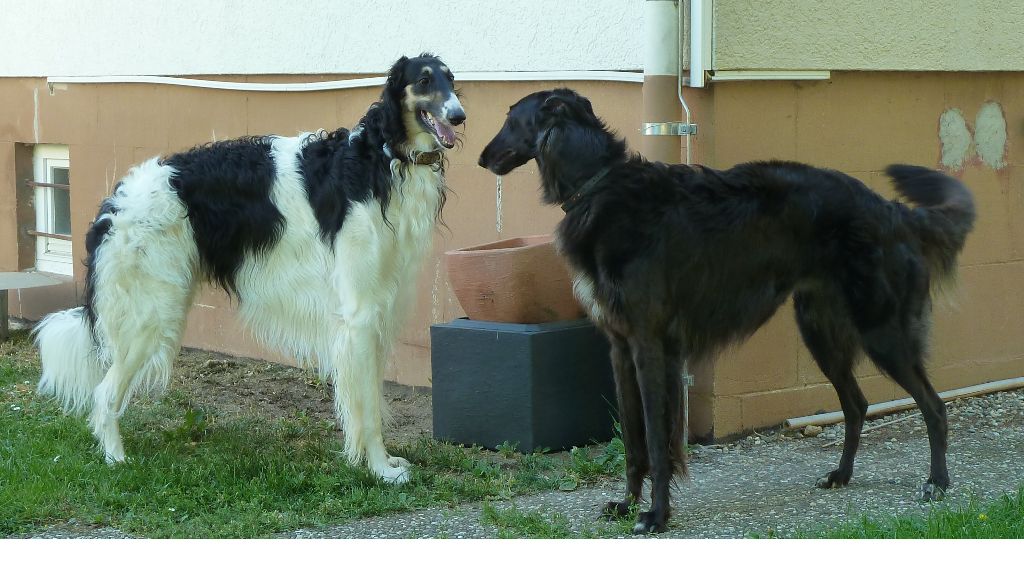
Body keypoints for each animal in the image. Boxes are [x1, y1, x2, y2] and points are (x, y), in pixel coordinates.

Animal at [34, 54, 464, 484]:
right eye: (424, 80)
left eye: (451, 78)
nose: (460, 116)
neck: (380, 157)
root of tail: (114, 202)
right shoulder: (359, 312)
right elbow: (369, 408)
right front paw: (380, 469)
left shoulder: (377, 308)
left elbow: (369, 396)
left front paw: (378, 461)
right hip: (150, 315)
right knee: (104, 393)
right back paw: (116, 459)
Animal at [478, 88, 975, 533]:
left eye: (511, 119)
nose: (482, 158)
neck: (600, 185)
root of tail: (893, 211)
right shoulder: (620, 347)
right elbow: (634, 444)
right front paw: (626, 505)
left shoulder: (650, 345)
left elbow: (657, 441)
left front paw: (656, 516)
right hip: (821, 332)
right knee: (857, 404)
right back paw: (842, 475)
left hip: (881, 330)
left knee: (933, 406)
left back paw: (937, 483)